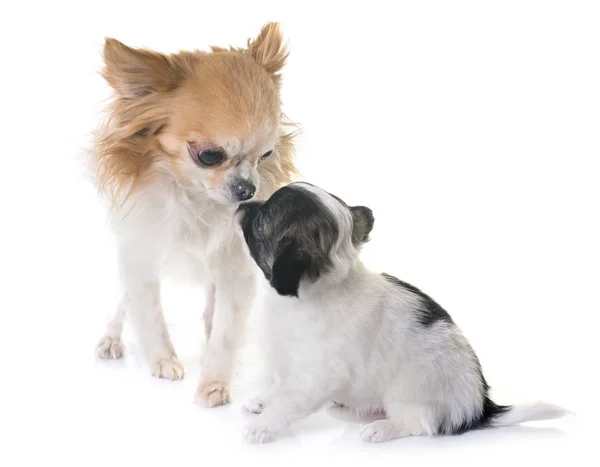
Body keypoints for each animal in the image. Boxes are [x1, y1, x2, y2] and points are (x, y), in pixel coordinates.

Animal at [89, 22, 298, 410]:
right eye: (209, 156)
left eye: (266, 155)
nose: (248, 189)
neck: (197, 198)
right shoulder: (141, 252)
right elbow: (148, 311)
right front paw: (163, 360)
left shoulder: (235, 267)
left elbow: (226, 328)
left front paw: (215, 381)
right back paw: (112, 337)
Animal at [236, 181, 568, 444]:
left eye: (260, 223)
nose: (245, 203)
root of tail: (479, 406)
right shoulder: (288, 363)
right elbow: (278, 386)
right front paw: (263, 401)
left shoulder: (316, 375)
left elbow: (287, 401)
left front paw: (263, 426)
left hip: (406, 395)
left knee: (419, 423)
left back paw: (382, 428)